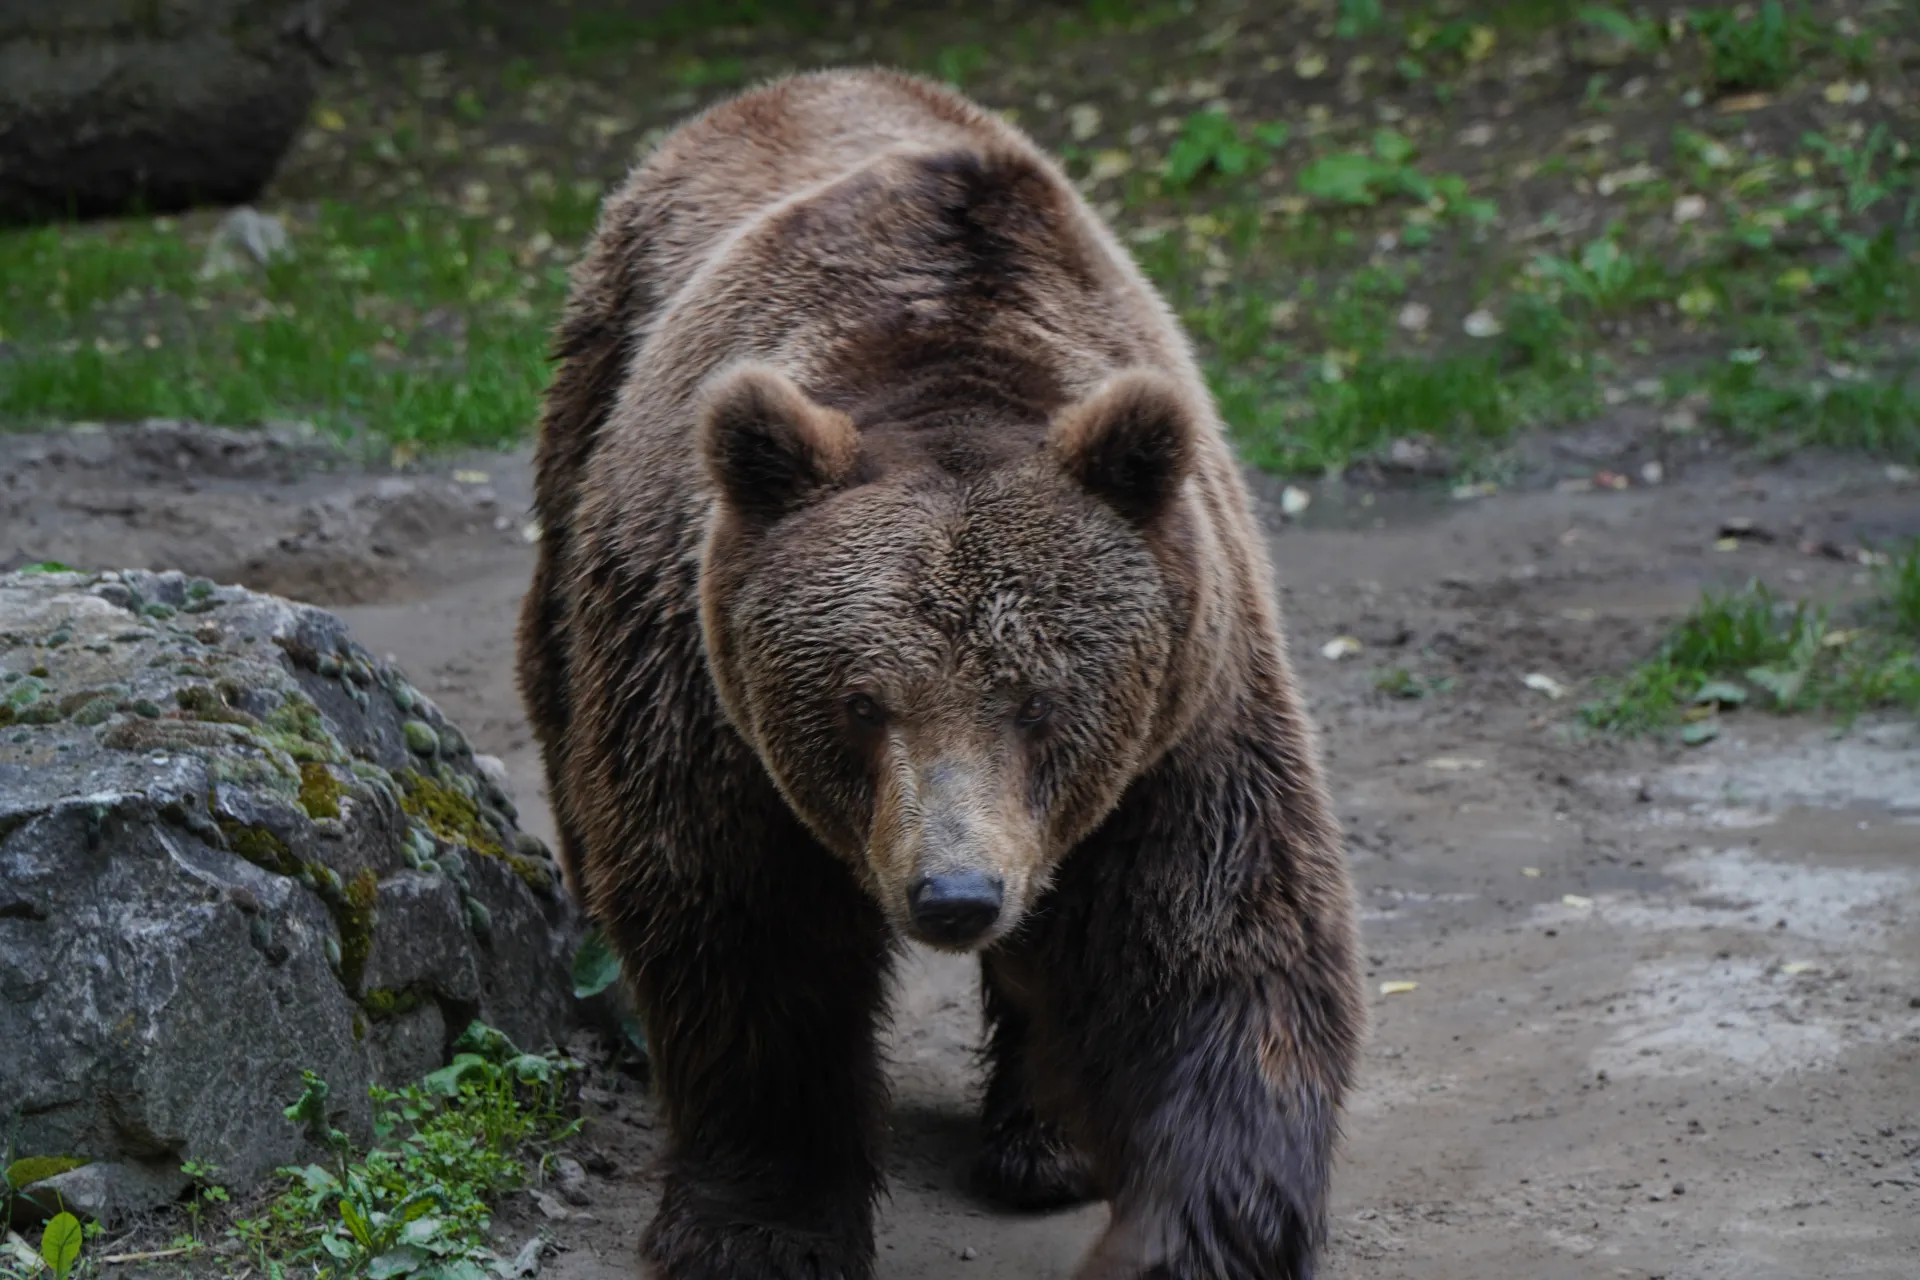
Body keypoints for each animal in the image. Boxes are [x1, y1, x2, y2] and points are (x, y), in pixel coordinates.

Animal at [516, 68, 1365, 1280]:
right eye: (861, 704)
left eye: (1040, 699)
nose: (956, 893)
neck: (941, 368)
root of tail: (798, 83)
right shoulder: (706, 688)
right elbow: (744, 933)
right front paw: (757, 1229)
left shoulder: (1183, 704)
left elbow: (1215, 946)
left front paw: (1176, 1239)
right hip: (592, 420)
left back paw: (1046, 1142)